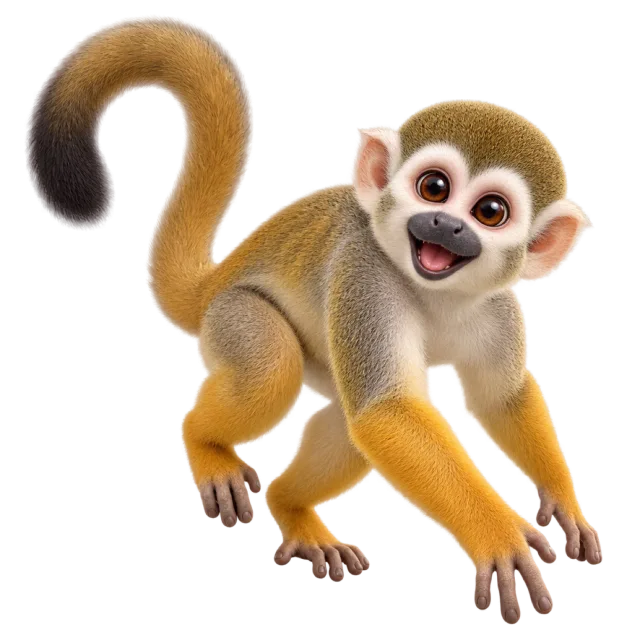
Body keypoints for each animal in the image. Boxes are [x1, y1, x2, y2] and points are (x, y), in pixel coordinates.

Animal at [25, 15, 602, 624]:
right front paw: (497, 532)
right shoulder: (363, 276)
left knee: (346, 422)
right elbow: (388, 413)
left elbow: (500, 397)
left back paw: (291, 506)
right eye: (434, 188)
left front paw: (564, 498)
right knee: (273, 366)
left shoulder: (499, 306)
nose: (445, 225)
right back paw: (204, 444)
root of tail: (220, 277)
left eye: (490, 212)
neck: (437, 292)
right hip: (236, 314)